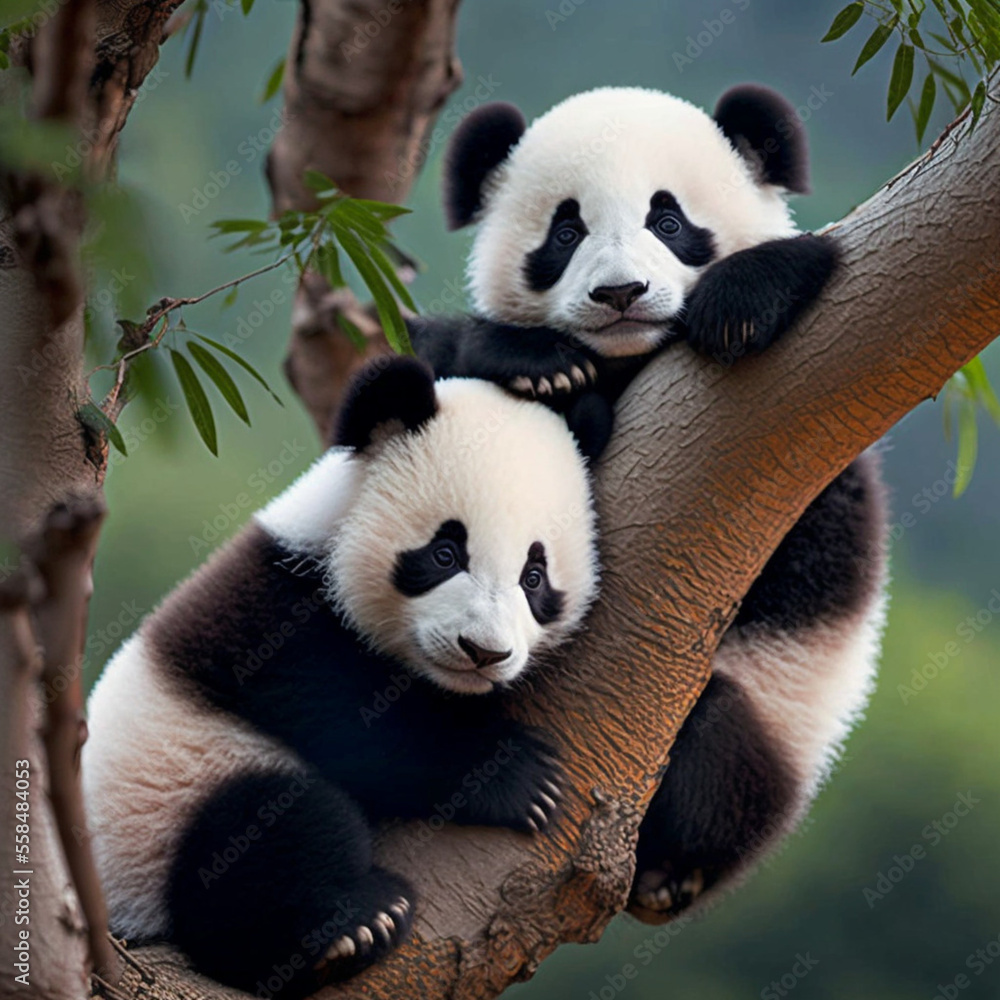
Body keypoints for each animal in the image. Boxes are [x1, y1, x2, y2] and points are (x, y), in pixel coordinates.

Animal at [82, 358, 599, 996]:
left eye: (534, 576)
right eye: (445, 553)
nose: (483, 652)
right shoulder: (271, 615)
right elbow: (350, 721)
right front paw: (517, 775)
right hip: (166, 806)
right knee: (266, 832)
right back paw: (352, 925)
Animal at [408, 85, 888, 918]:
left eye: (670, 222)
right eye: (566, 231)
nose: (620, 294)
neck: (629, 363)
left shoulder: (809, 436)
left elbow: (797, 545)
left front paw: (742, 300)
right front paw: (540, 368)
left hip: (770, 726)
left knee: (721, 751)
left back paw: (669, 869)